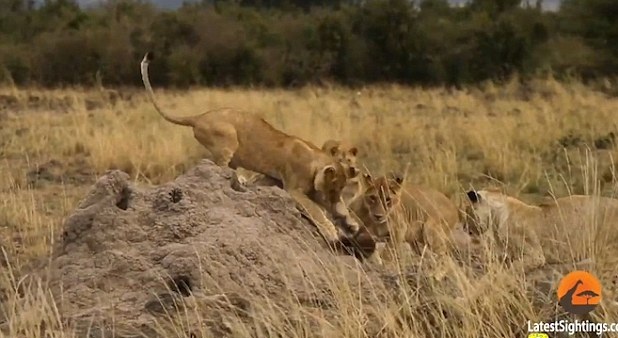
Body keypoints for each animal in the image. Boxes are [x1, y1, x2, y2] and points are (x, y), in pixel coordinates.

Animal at [138, 51, 360, 244]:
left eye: (340, 189)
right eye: (333, 188)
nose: (334, 201)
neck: (316, 161)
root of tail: (199, 117)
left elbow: (337, 208)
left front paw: (350, 224)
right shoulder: (294, 189)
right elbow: (316, 210)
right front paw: (332, 232)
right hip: (228, 138)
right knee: (219, 165)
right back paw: (240, 180)